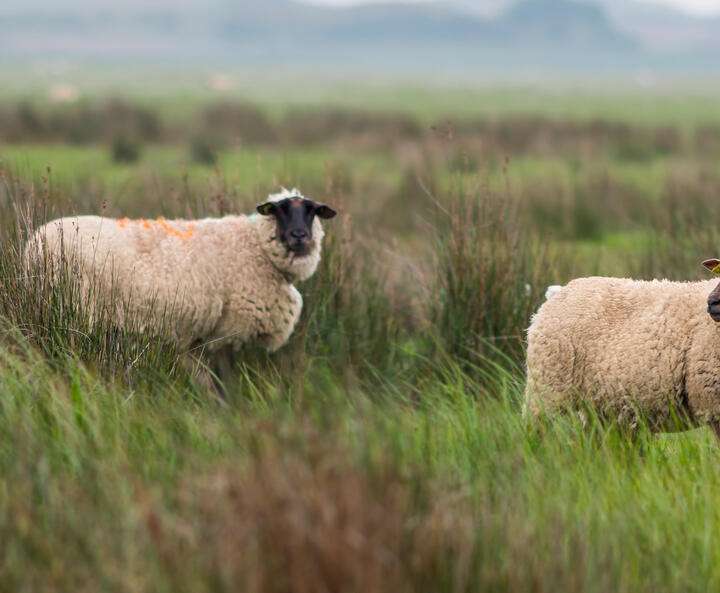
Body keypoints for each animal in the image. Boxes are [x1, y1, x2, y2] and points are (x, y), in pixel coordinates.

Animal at [25, 188, 334, 356]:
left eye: (312, 211)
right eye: (278, 211)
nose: (299, 236)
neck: (255, 247)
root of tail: (34, 244)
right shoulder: (231, 331)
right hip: (75, 307)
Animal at [524, 260, 720, 440]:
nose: (711, 303)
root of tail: (559, 291)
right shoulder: (712, 404)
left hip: (600, 407)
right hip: (546, 386)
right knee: (535, 432)